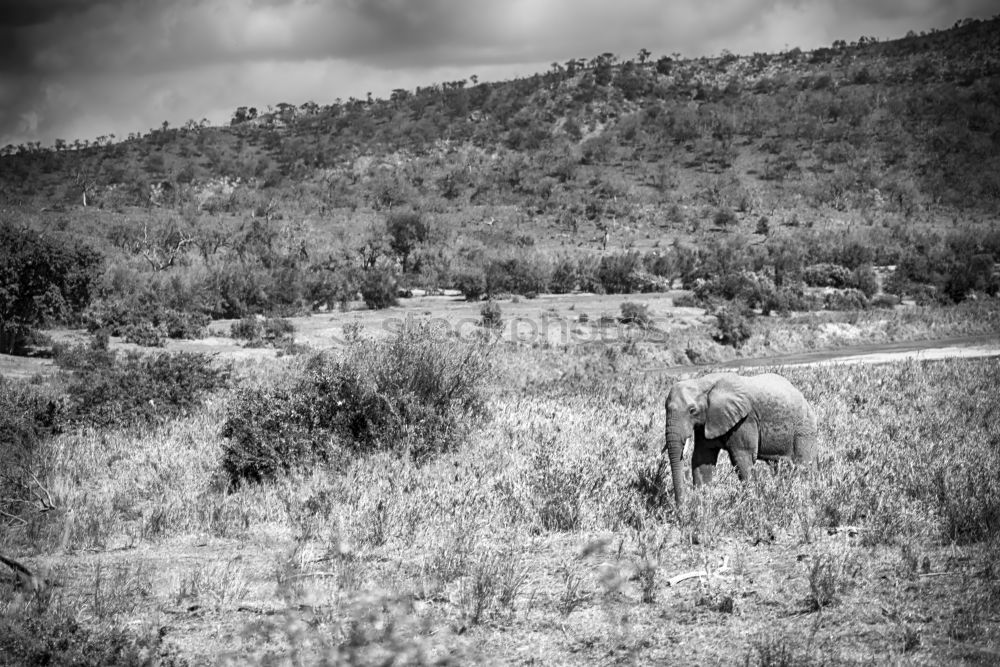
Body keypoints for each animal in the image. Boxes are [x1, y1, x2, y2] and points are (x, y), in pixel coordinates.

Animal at [660, 374, 816, 504]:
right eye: (665, 408)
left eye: (692, 410)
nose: (680, 508)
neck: (702, 382)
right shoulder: (707, 422)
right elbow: (702, 458)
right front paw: (700, 506)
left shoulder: (745, 420)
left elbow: (742, 458)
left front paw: (750, 502)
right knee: (780, 465)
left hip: (803, 427)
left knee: (802, 464)